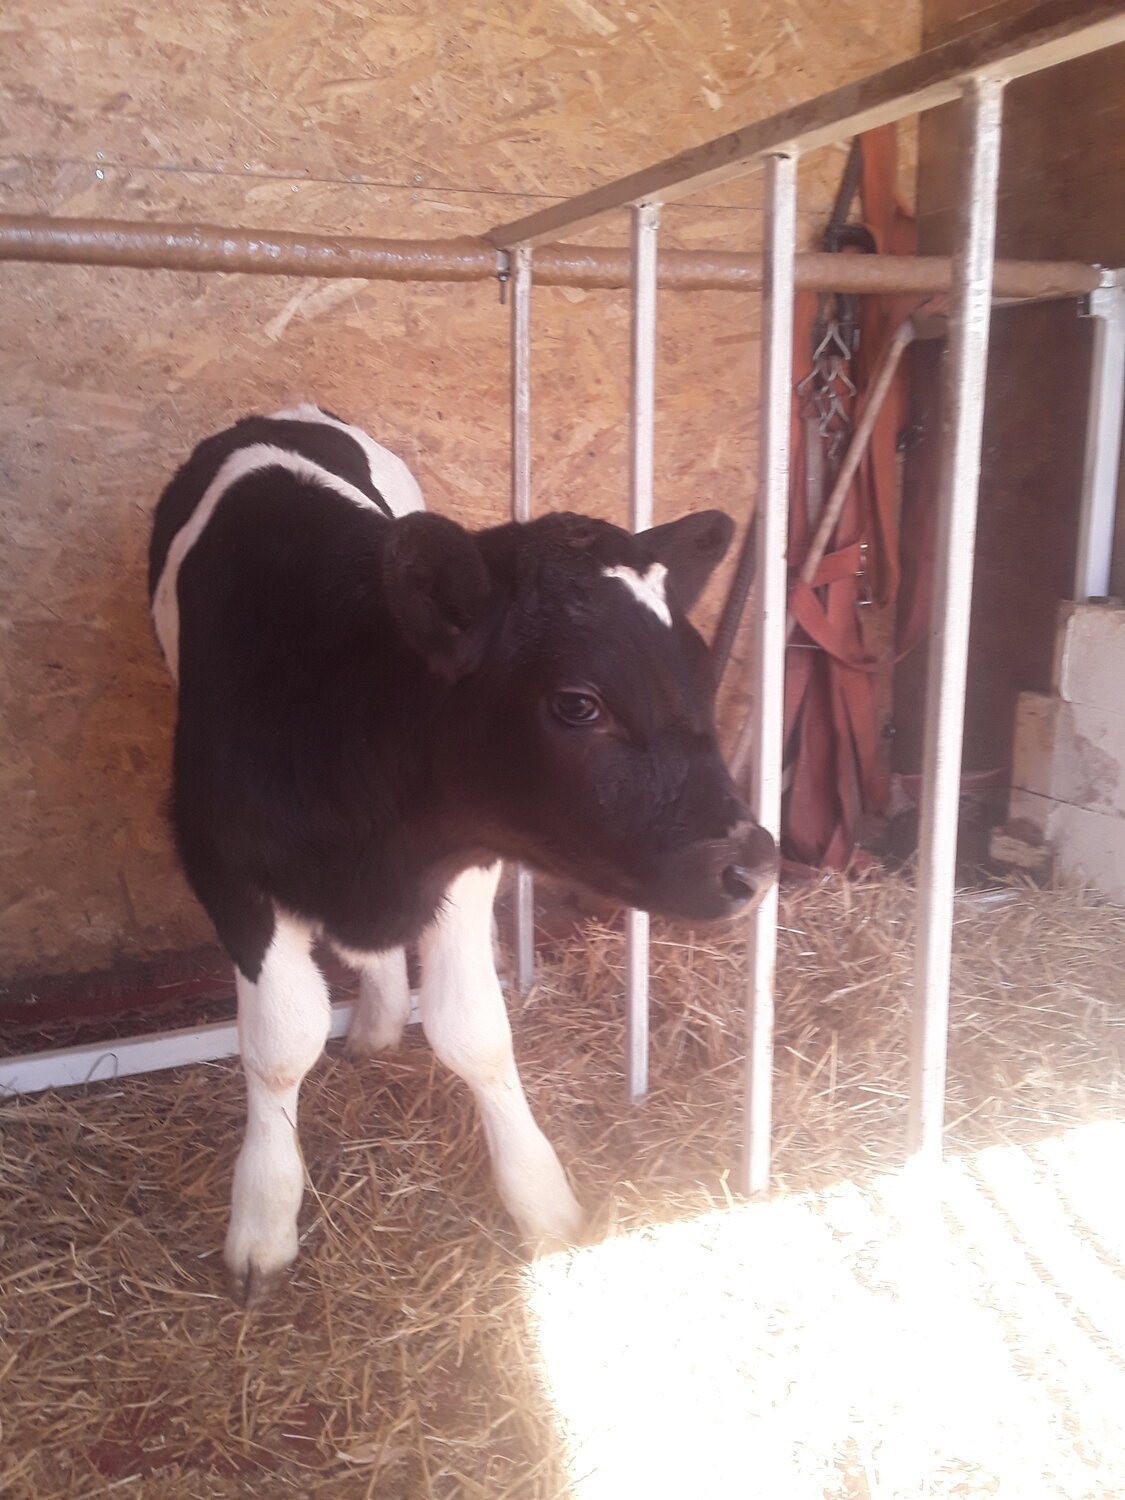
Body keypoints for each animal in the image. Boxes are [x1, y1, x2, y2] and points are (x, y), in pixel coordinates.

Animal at [149, 404, 776, 1303]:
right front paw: (262, 1219)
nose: (753, 864)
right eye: (577, 703)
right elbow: (279, 1044)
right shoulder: (223, 867)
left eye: (699, 672)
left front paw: (540, 1197)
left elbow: (474, 1030)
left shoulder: (466, 858)